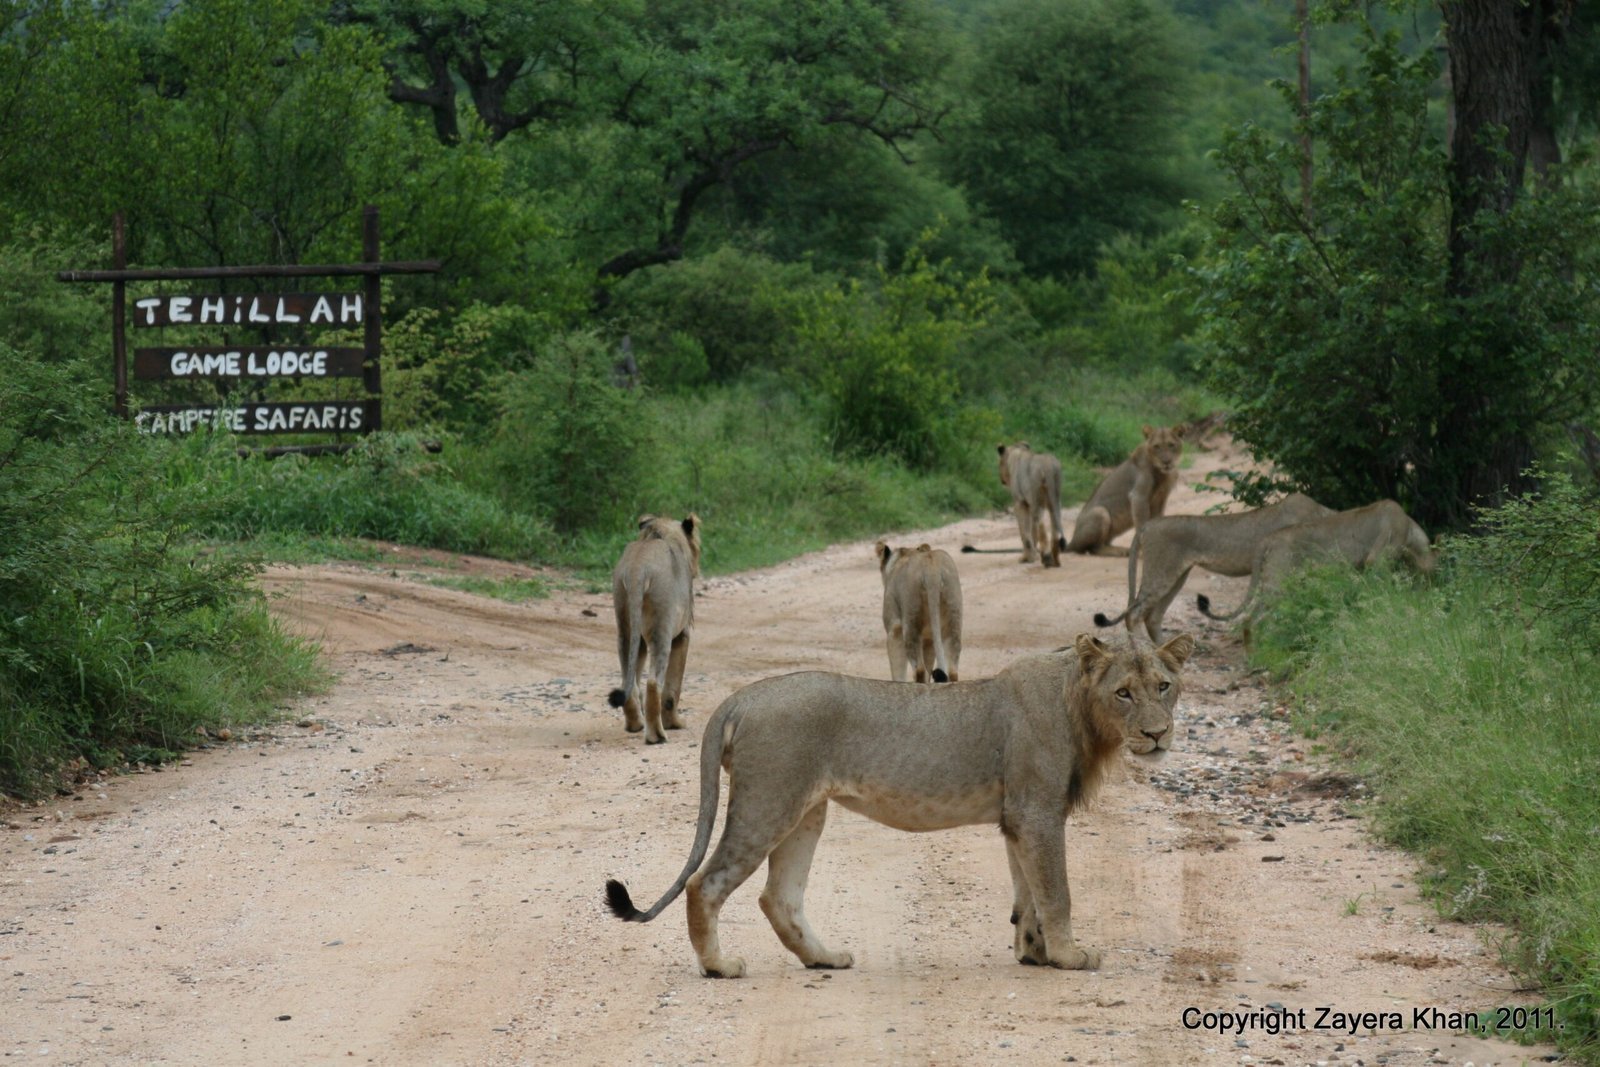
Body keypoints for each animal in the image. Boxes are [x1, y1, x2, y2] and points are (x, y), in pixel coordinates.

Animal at [604, 632, 1196, 978]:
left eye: (1164, 686)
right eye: (1124, 692)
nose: (1157, 734)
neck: (1080, 707)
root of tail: (741, 697)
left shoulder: (1019, 819)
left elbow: (1027, 894)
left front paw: (1035, 954)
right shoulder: (1039, 812)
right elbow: (1056, 893)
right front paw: (1071, 958)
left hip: (805, 811)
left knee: (779, 897)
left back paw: (824, 957)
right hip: (768, 801)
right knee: (706, 883)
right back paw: (720, 966)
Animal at [607, 513, 702, 744]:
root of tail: (637, 569)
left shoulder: (639, 640)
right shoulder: (682, 635)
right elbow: (673, 688)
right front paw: (674, 723)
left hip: (625, 627)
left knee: (629, 680)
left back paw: (635, 725)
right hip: (662, 630)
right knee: (652, 684)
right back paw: (656, 735)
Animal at [876, 541, 963, 683]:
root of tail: (932, 569)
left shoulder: (894, 629)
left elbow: (898, 671)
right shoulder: (928, 639)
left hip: (911, 621)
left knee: (920, 670)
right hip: (953, 617)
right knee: (952, 671)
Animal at [1066, 424, 1186, 556]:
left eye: (1171, 445)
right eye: (1157, 446)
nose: (1166, 462)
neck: (1163, 473)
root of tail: (1071, 541)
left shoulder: (1161, 499)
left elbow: (1157, 521)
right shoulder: (1138, 496)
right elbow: (1141, 524)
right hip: (1100, 512)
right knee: (1094, 548)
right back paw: (1120, 551)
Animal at [1197, 499, 1434, 629]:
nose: (1427, 586)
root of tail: (1268, 539)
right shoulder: (1378, 556)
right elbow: (1381, 583)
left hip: (1274, 583)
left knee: (1251, 618)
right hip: (1277, 585)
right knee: (1254, 620)